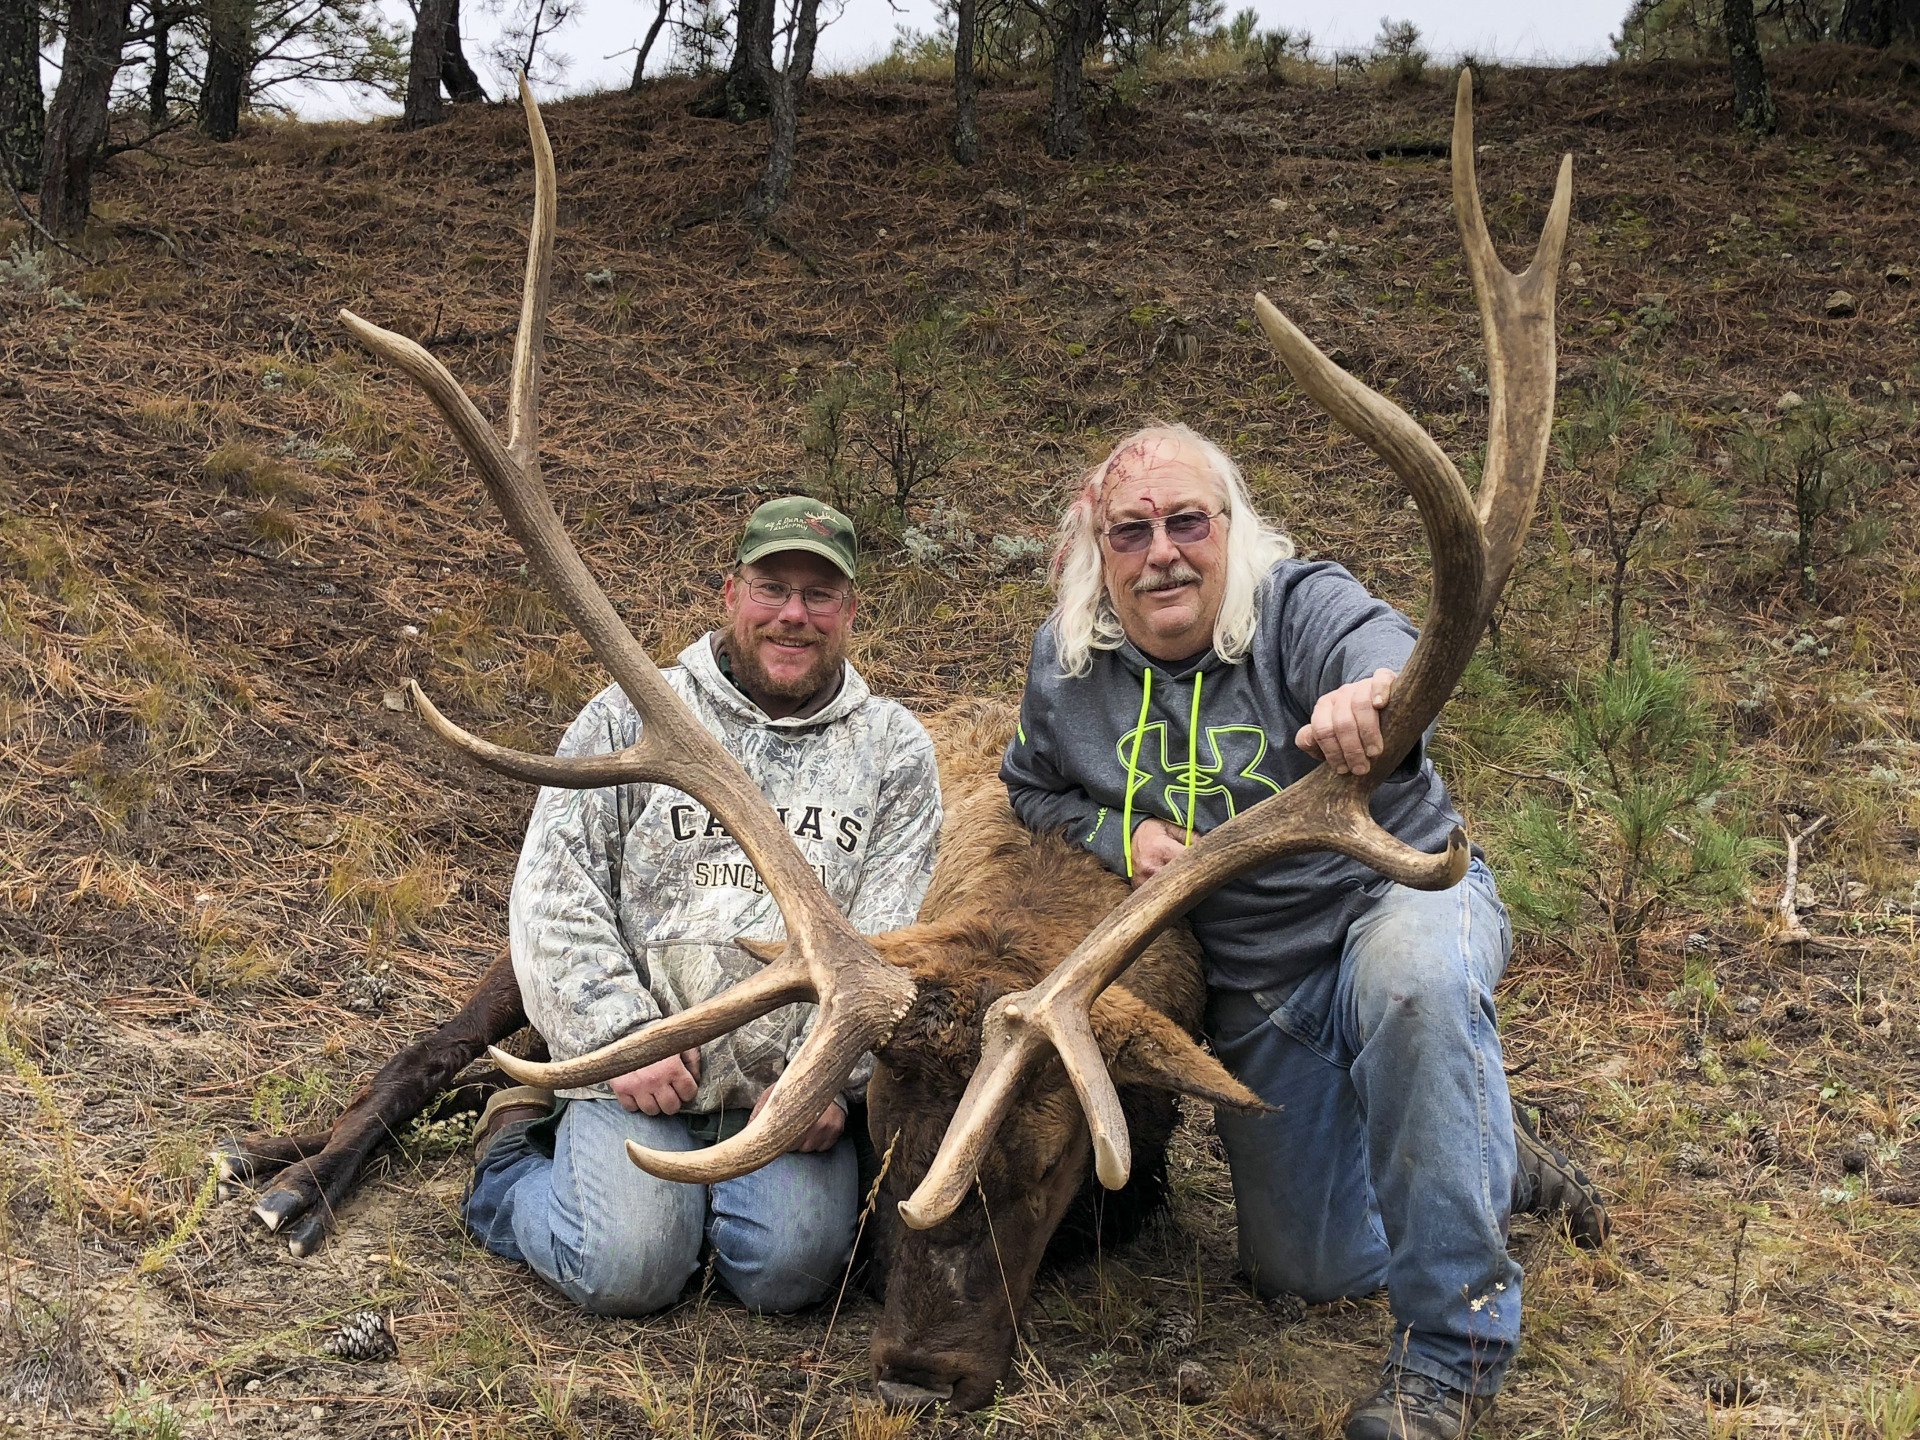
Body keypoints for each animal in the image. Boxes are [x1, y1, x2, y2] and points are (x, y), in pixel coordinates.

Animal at [217, 72, 1569, 1410]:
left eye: (1059, 1165)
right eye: (882, 1140)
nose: (922, 1372)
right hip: (515, 967)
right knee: (435, 1054)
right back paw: (292, 1177)